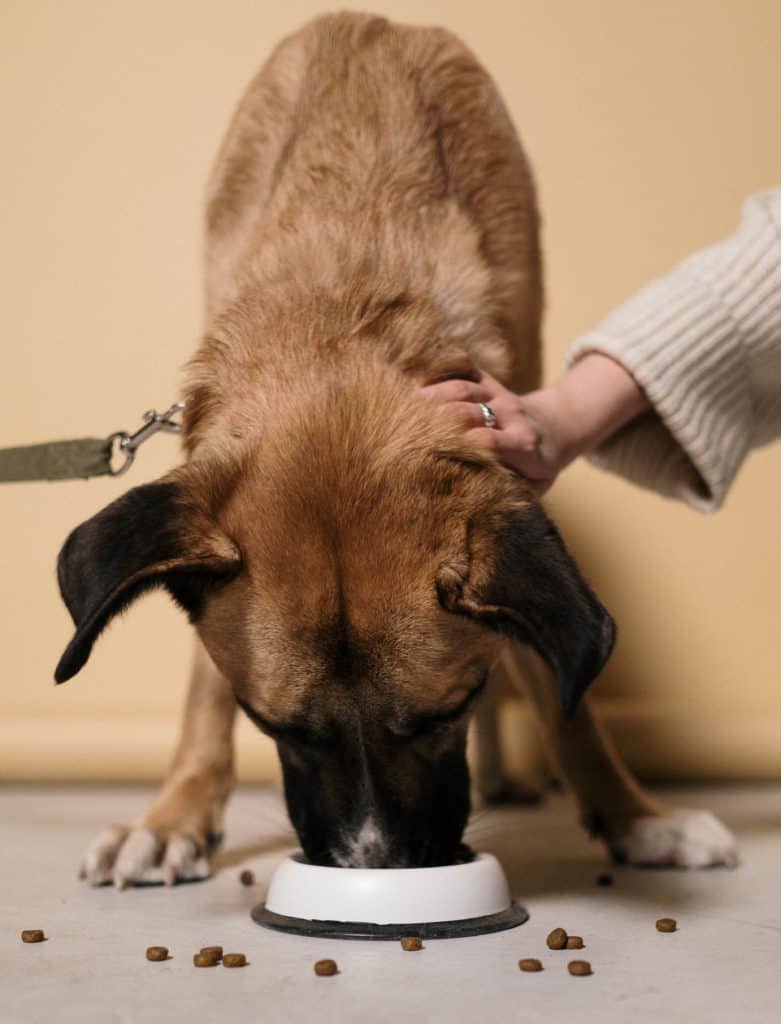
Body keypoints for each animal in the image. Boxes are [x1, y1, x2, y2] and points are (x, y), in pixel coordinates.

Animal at [55, 12, 741, 884]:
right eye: (276, 726)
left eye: (444, 713)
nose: (372, 868)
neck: (343, 313)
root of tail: (373, 19)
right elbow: (202, 688)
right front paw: (174, 814)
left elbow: (559, 680)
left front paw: (635, 817)